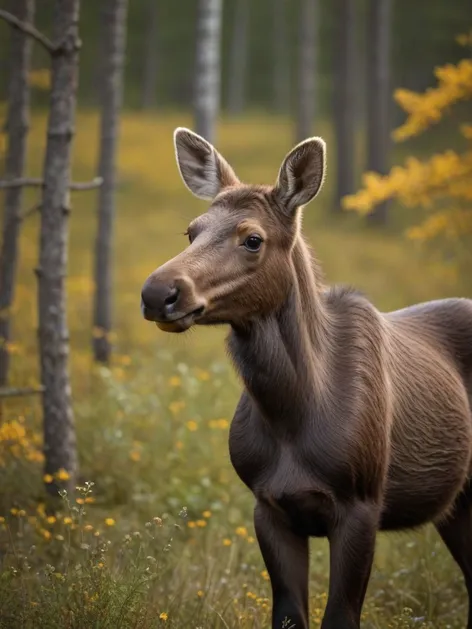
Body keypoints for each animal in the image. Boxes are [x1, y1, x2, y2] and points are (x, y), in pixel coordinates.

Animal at [141, 129, 472, 628]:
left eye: (252, 239)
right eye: (191, 231)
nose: (158, 292)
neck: (292, 414)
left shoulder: (361, 505)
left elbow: (340, 616)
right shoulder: (268, 506)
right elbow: (289, 614)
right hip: (458, 504)